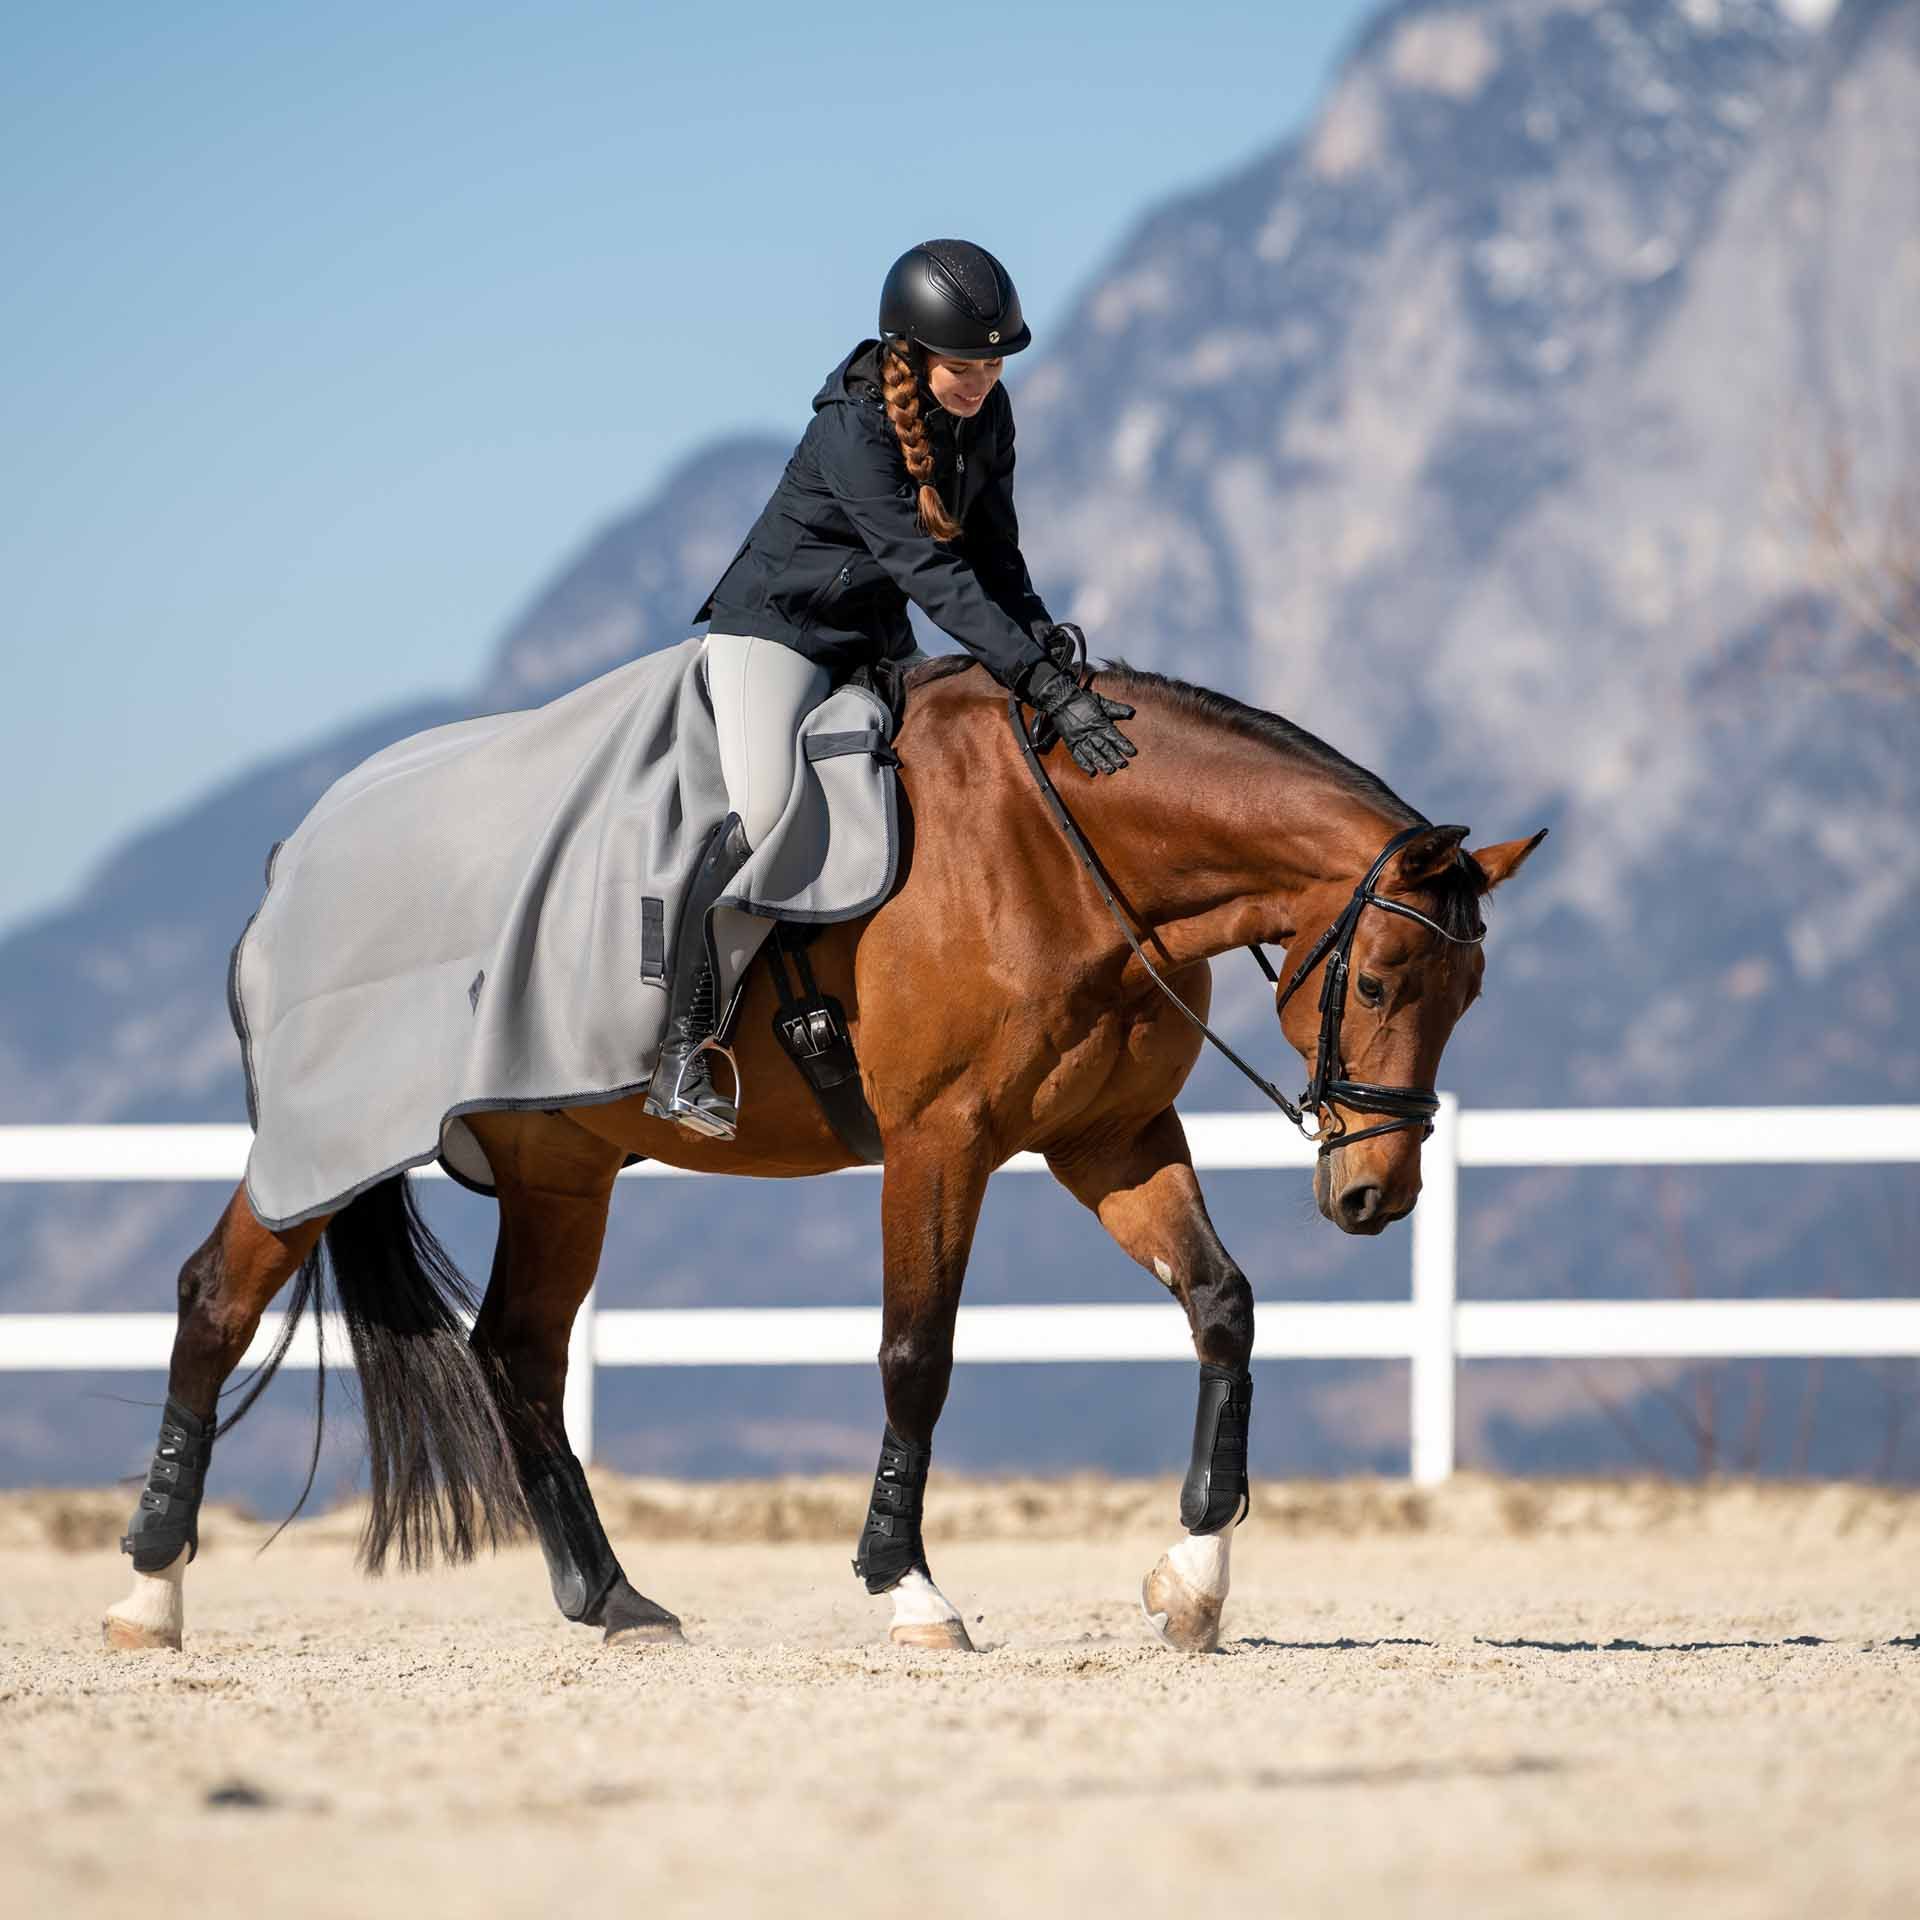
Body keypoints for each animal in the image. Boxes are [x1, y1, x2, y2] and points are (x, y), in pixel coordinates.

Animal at [103, 651, 1545, 1656]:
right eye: (1378, 978)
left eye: (1470, 994)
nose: (1374, 1194)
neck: (1061, 853)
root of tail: (294, 863)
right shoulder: (940, 1144)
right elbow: (918, 1355)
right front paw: (912, 1594)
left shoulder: (1110, 1139)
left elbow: (1222, 1307)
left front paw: (1193, 1584)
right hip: (325, 1146)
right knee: (216, 1299)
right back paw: (149, 1594)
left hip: (561, 1172)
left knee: (516, 1352)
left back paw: (612, 1600)